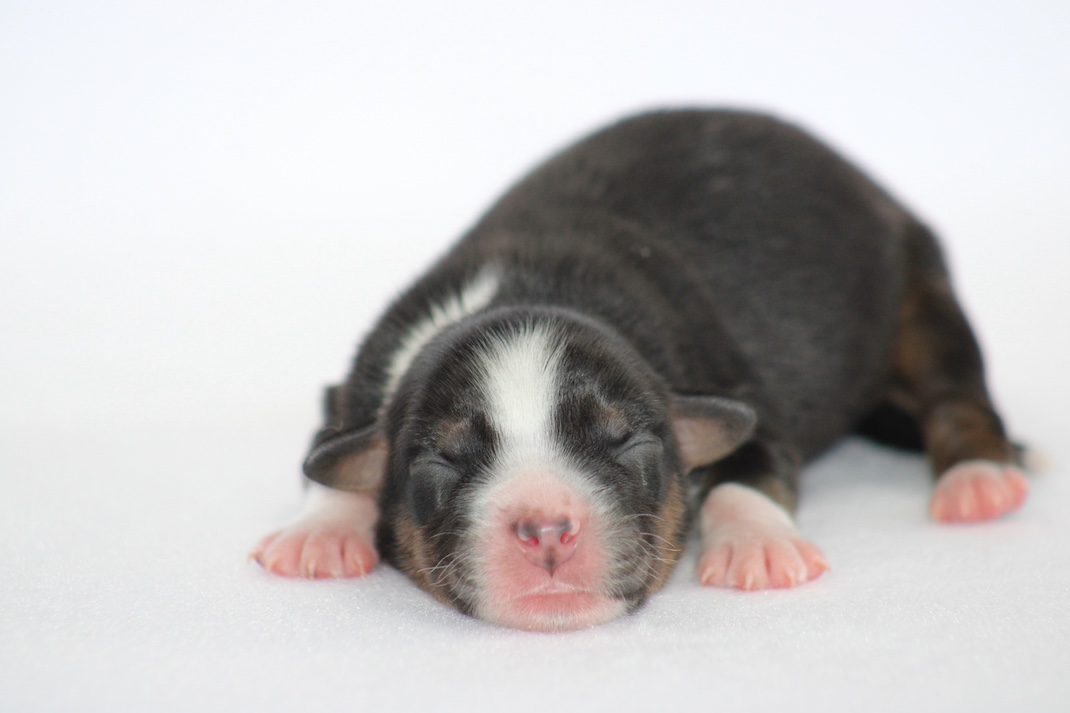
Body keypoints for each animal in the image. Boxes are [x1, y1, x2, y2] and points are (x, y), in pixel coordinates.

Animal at [251, 109, 1028, 631]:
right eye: (440, 461)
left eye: (628, 443)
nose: (546, 528)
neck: (527, 288)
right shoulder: (353, 383)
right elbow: (331, 454)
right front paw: (317, 530)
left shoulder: (738, 393)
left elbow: (750, 467)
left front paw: (757, 544)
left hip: (921, 293)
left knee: (957, 392)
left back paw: (978, 480)